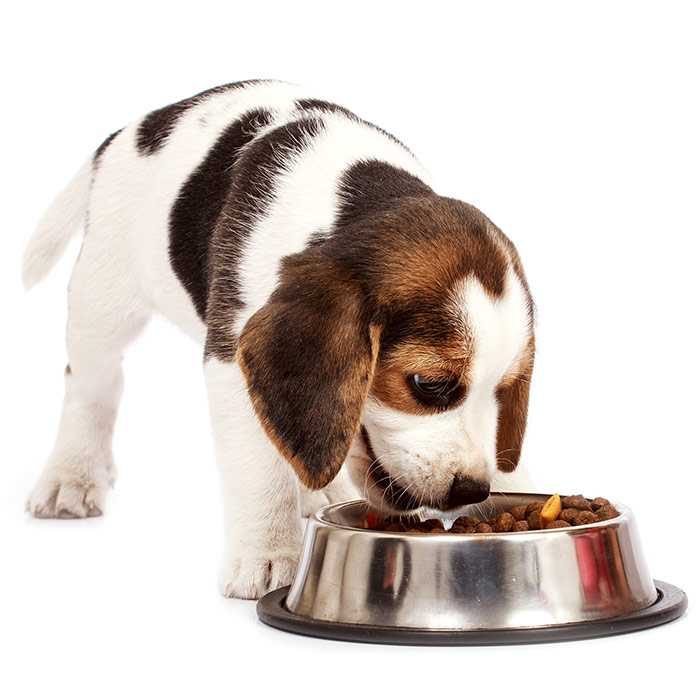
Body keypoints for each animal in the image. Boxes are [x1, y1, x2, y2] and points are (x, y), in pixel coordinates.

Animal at [23, 80, 536, 596]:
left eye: (503, 392)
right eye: (429, 385)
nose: (473, 489)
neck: (354, 202)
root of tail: (132, 128)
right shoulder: (232, 360)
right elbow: (258, 468)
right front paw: (266, 554)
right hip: (102, 299)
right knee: (91, 386)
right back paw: (73, 474)